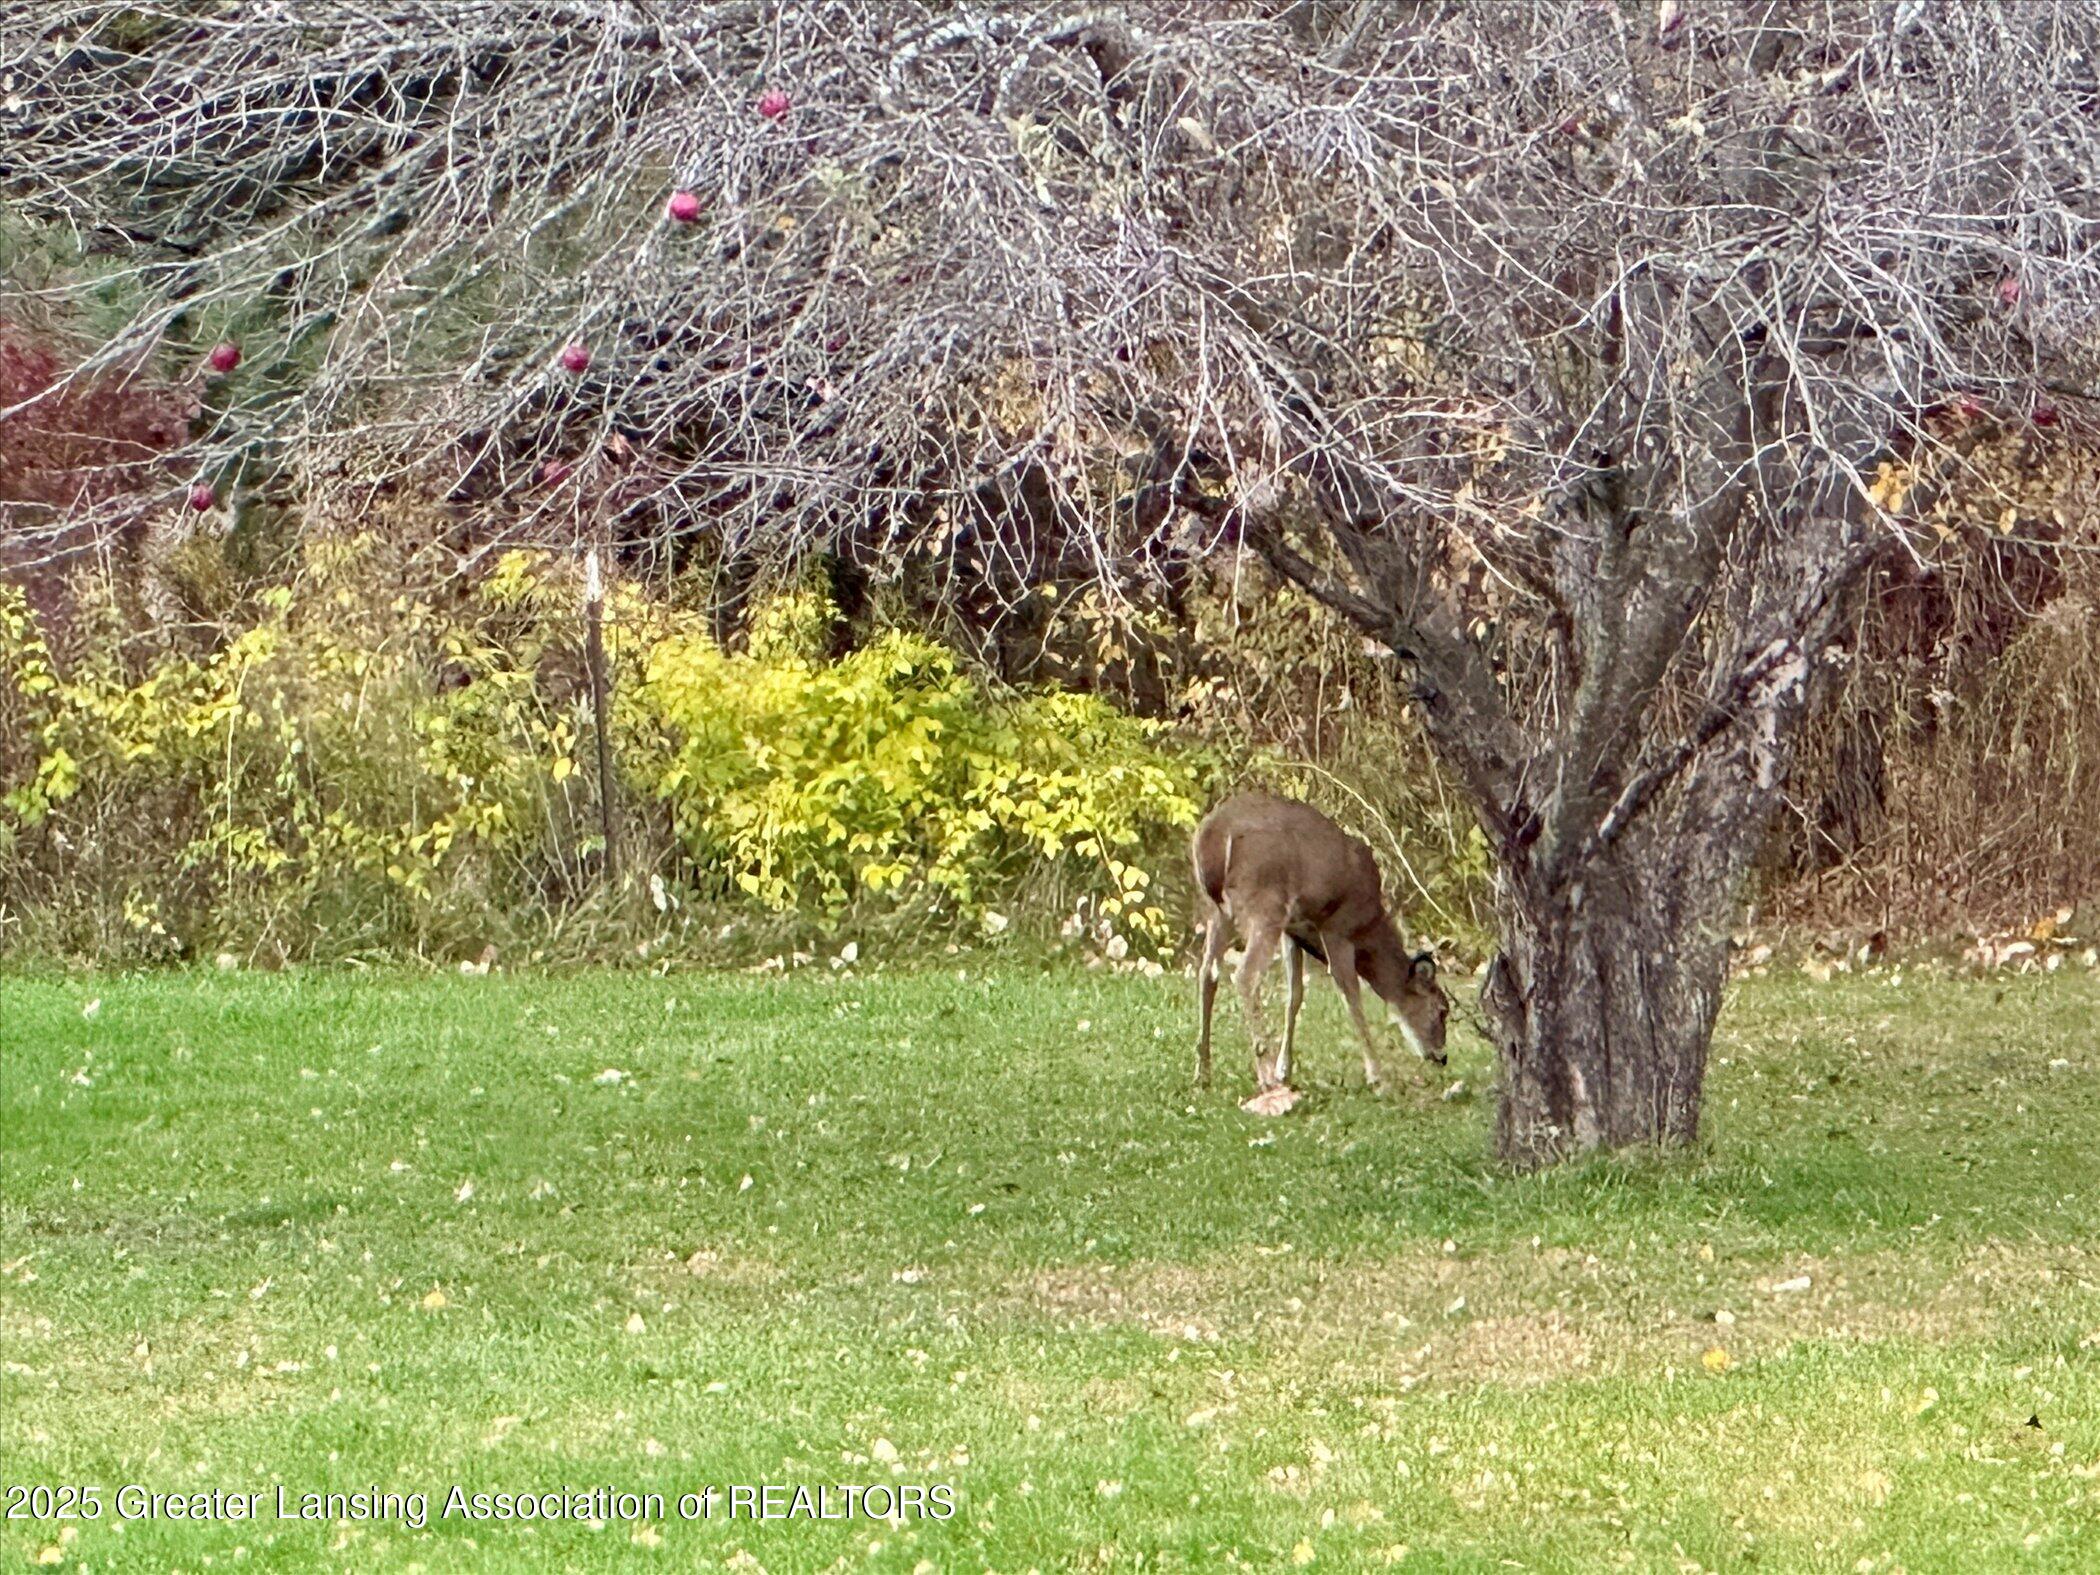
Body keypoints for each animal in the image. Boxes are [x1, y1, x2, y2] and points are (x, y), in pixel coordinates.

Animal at [1191, 792, 1448, 1093]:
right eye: (1442, 1010)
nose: (1442, 1056)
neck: (1368, 925)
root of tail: (1213, 834)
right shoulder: (1337, 928)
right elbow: (1351, 996)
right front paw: (1377, 1076)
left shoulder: (1293, 932)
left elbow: (1295, 995)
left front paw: (1285, 1070)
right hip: (1265, 905)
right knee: (1245, 975)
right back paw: (1264, 1076)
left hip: (1218, 911)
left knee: (1207, 973)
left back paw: (1203, 1072)